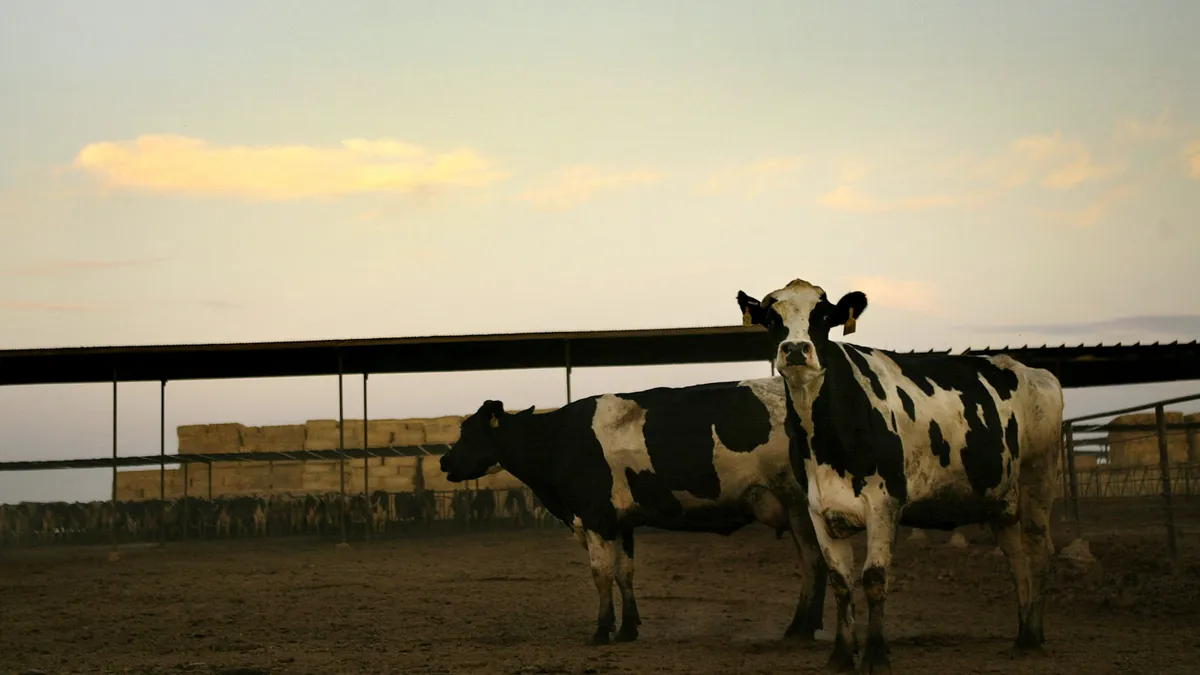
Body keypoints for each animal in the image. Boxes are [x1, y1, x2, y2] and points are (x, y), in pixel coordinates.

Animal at [436, 379, 830, 648]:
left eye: (469, 431)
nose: (444, 461)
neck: (557, 440)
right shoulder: (620, 523)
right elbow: (624, 573)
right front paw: (627, 628)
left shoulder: (594, 518)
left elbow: (600, 574)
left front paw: (601, 629)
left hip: (798, 504)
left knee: (813, 562)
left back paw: (799, 629)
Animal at [734, 276, 1065, 667]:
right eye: (773, 319)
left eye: (825, 316)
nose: (796, 349)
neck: (829, 437)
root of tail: (1032, 371)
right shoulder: (818, 509)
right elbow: (841, 581)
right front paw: (842, 656)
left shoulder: (884, 503)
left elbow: (874, 578)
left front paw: (876, 656)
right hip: (999, 499)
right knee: (1016, 561)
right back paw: (1025, 631)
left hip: (1038, 477)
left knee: (1038, 552)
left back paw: (1031, 636)